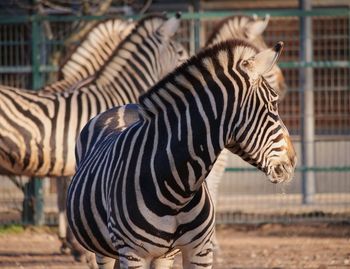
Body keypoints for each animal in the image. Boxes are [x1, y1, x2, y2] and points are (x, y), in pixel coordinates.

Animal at [67, 39, 296, 268]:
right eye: (274, 104)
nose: (293, 161)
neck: (177, 191)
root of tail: (122, 106)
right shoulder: (133, 254)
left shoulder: (200, 252)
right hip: (105, 250)